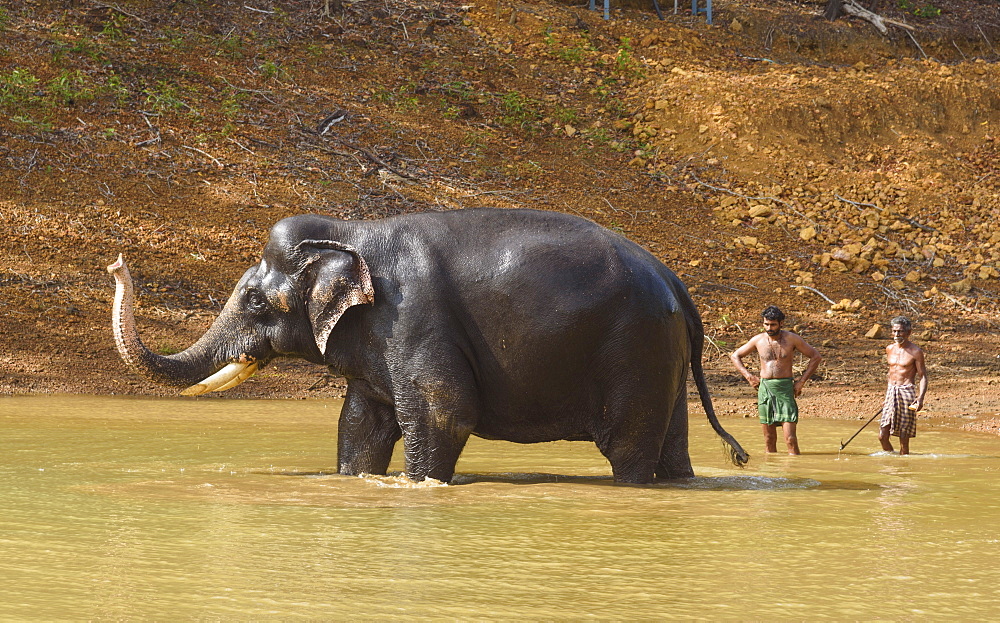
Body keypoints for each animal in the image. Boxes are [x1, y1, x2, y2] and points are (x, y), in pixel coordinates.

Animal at [111, 208, 752, 482]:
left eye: (254, 303)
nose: (117, 263)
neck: (353, 230)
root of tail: (677, 284)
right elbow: (361, 424)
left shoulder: (414, 317)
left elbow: (443, 412)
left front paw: (419, 486)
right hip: (661, 354)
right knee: (671, 444)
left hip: (634, 349)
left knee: (628, 445)